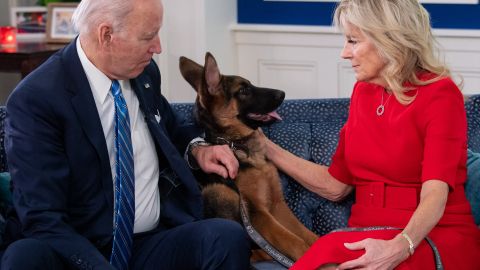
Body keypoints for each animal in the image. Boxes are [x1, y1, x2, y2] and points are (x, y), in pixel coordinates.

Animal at [178, 51, 316, 260]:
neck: (236, 145)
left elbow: (306, 234)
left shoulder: (277, 205)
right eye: (243, 90)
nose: (282, 93)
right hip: (220, 191)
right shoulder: (257, 213)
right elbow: (294, 241)